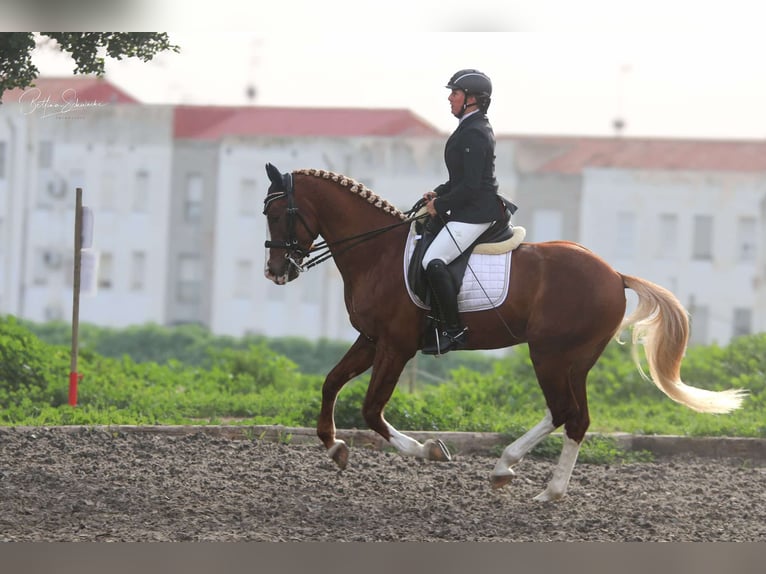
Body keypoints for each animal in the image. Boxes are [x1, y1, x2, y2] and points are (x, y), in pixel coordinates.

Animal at [264, 164, 752, 502]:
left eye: (278, 213)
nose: (275, 272)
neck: (376, 252)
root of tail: (616, 275)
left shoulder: (397, 346)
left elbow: (370, 409)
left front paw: (429, 451)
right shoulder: (371, 340)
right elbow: (331, 383)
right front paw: (334, 448)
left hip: (549, 354)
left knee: (564, 412)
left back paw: (509, 468)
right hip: (574, 360)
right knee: (575, 417)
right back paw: (544, 488)